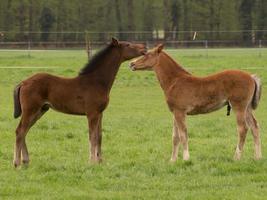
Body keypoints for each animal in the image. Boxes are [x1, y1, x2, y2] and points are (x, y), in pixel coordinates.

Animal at [12, 38, 147, 167]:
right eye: (128, 44)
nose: (144, 47)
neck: (96, 82)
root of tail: (23, 82)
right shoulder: (92, 114)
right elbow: (92, 136)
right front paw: (92, 162)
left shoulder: (100, 113)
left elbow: (99, 136)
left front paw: (100, 161)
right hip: (30, 110)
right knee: (20, 131)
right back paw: (17, 163)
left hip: (40, 110)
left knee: (24, 132)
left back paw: (25, 161)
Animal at [131, 44, 262, 162]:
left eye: (147, 54)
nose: (131, 64)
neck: (175, 81)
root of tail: (251, 77)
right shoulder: (175, 113)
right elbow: (175, 137)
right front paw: (172, 160)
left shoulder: (180, 112)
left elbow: (183, 135)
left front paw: (186, 158)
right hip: (247, 108)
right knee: (254, 127)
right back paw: (258, 157)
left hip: (238, 106)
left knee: (243, 128)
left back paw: (237, 157)